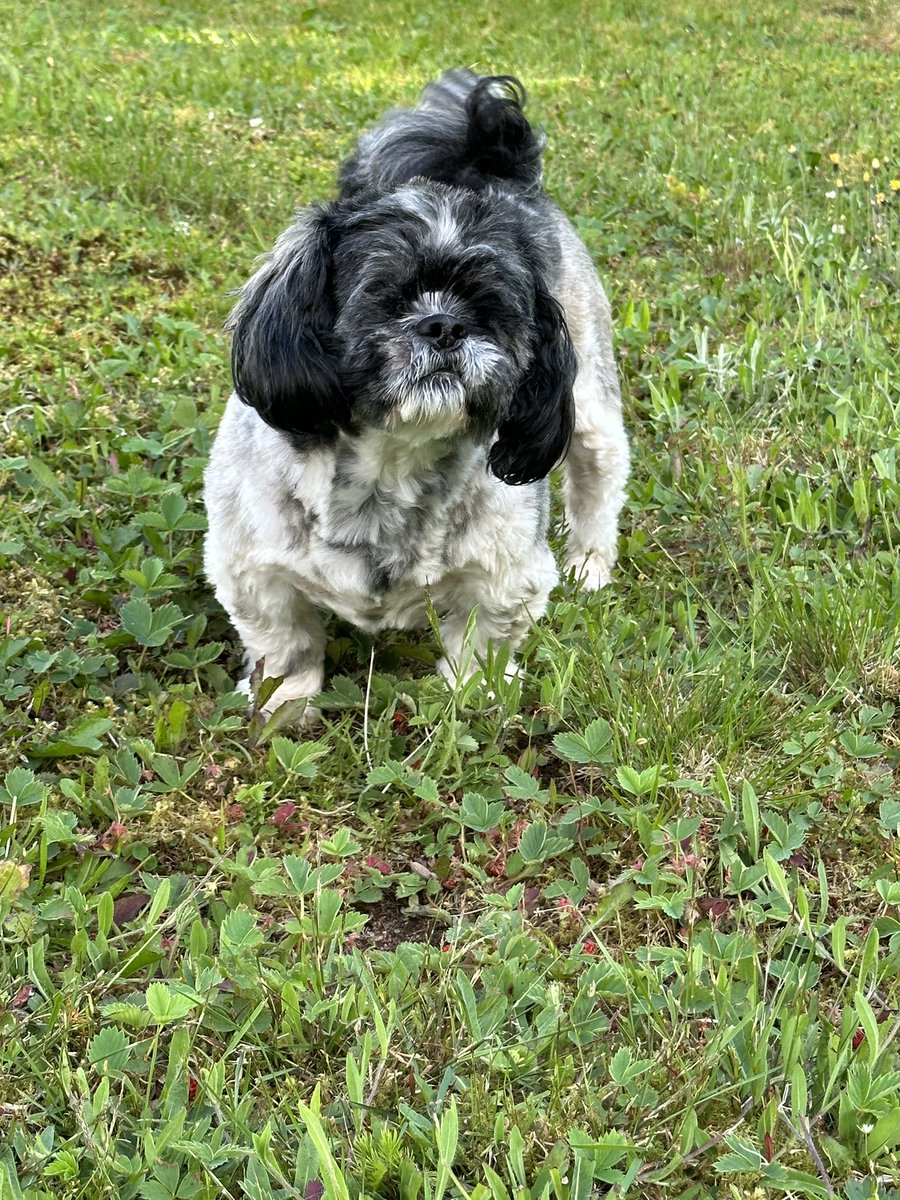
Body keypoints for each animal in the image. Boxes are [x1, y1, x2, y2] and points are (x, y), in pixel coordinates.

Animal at [204, 70, 628, 715]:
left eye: (490, 307)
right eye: (386, 296)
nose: (445, 325)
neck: (389, 466)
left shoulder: (508, 573)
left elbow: (483, 640)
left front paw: (472, 696)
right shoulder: (252, 570)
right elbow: (286, 644)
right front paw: (284, 707)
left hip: (589, 403)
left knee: (598, 477)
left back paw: (589, 563)